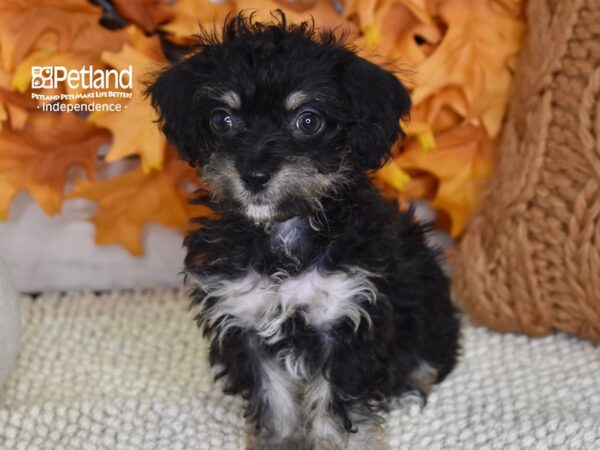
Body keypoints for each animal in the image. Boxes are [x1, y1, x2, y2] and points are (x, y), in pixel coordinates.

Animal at [148, 11, 458, 450]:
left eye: (308, 121)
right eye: (222, 119)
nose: (255, 175)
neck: (282, 237)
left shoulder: (345, 320)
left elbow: (334, 407)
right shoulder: (245, 322)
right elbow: (274, 402)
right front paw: (280, 441)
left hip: (428, 305)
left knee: (430, 355)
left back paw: (412, 382)